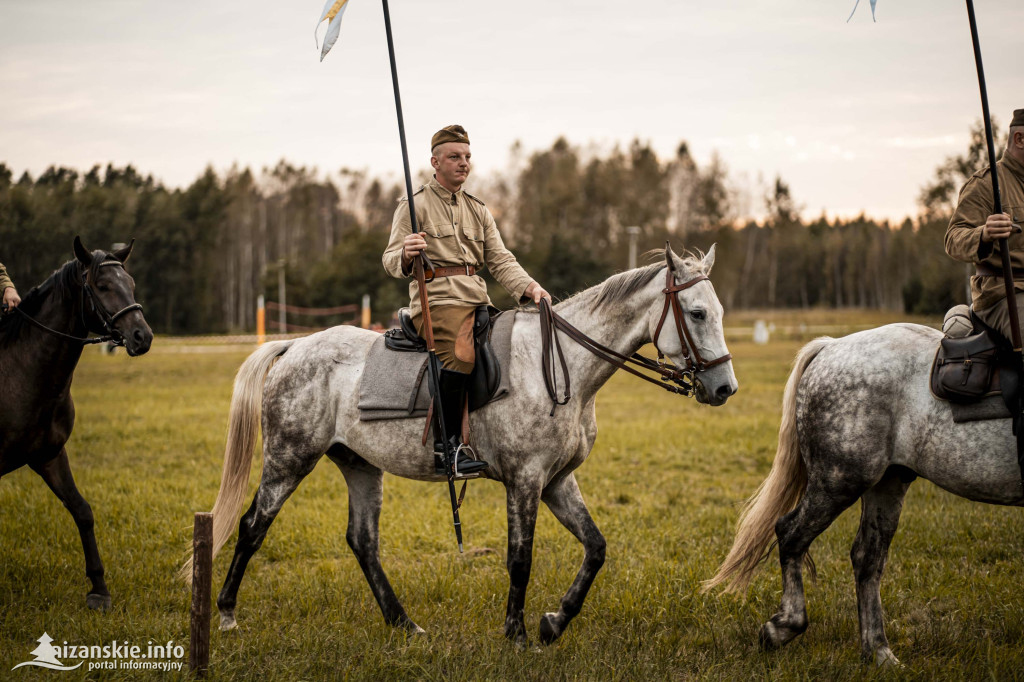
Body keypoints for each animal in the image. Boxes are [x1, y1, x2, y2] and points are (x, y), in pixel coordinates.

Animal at [0, 236, 151, 606]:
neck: (21, 372)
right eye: (102, 286)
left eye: (131, 284)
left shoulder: (49, 455)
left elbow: (82, 511)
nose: (142, 336)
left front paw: (99, 589)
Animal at [188, 244, 737, 643]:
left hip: (360, 465)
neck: (563, 366)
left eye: (719, 311)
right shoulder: (526, 481)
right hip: (289, 460)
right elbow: (520, 558)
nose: (725, 388)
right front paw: (516, 633)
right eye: (696, 313)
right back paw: (227, 614)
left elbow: (596, 548)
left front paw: (553, 622)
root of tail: (296, 346)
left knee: (362, 542)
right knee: (253, 527)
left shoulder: (557, 481)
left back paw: (404, 624)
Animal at [708, 323, 1024, 663]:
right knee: (791, 534)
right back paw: (784, 627)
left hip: (887, 482)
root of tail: (831, 346)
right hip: (840, 481)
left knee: (867, 557)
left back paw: (878, 651)